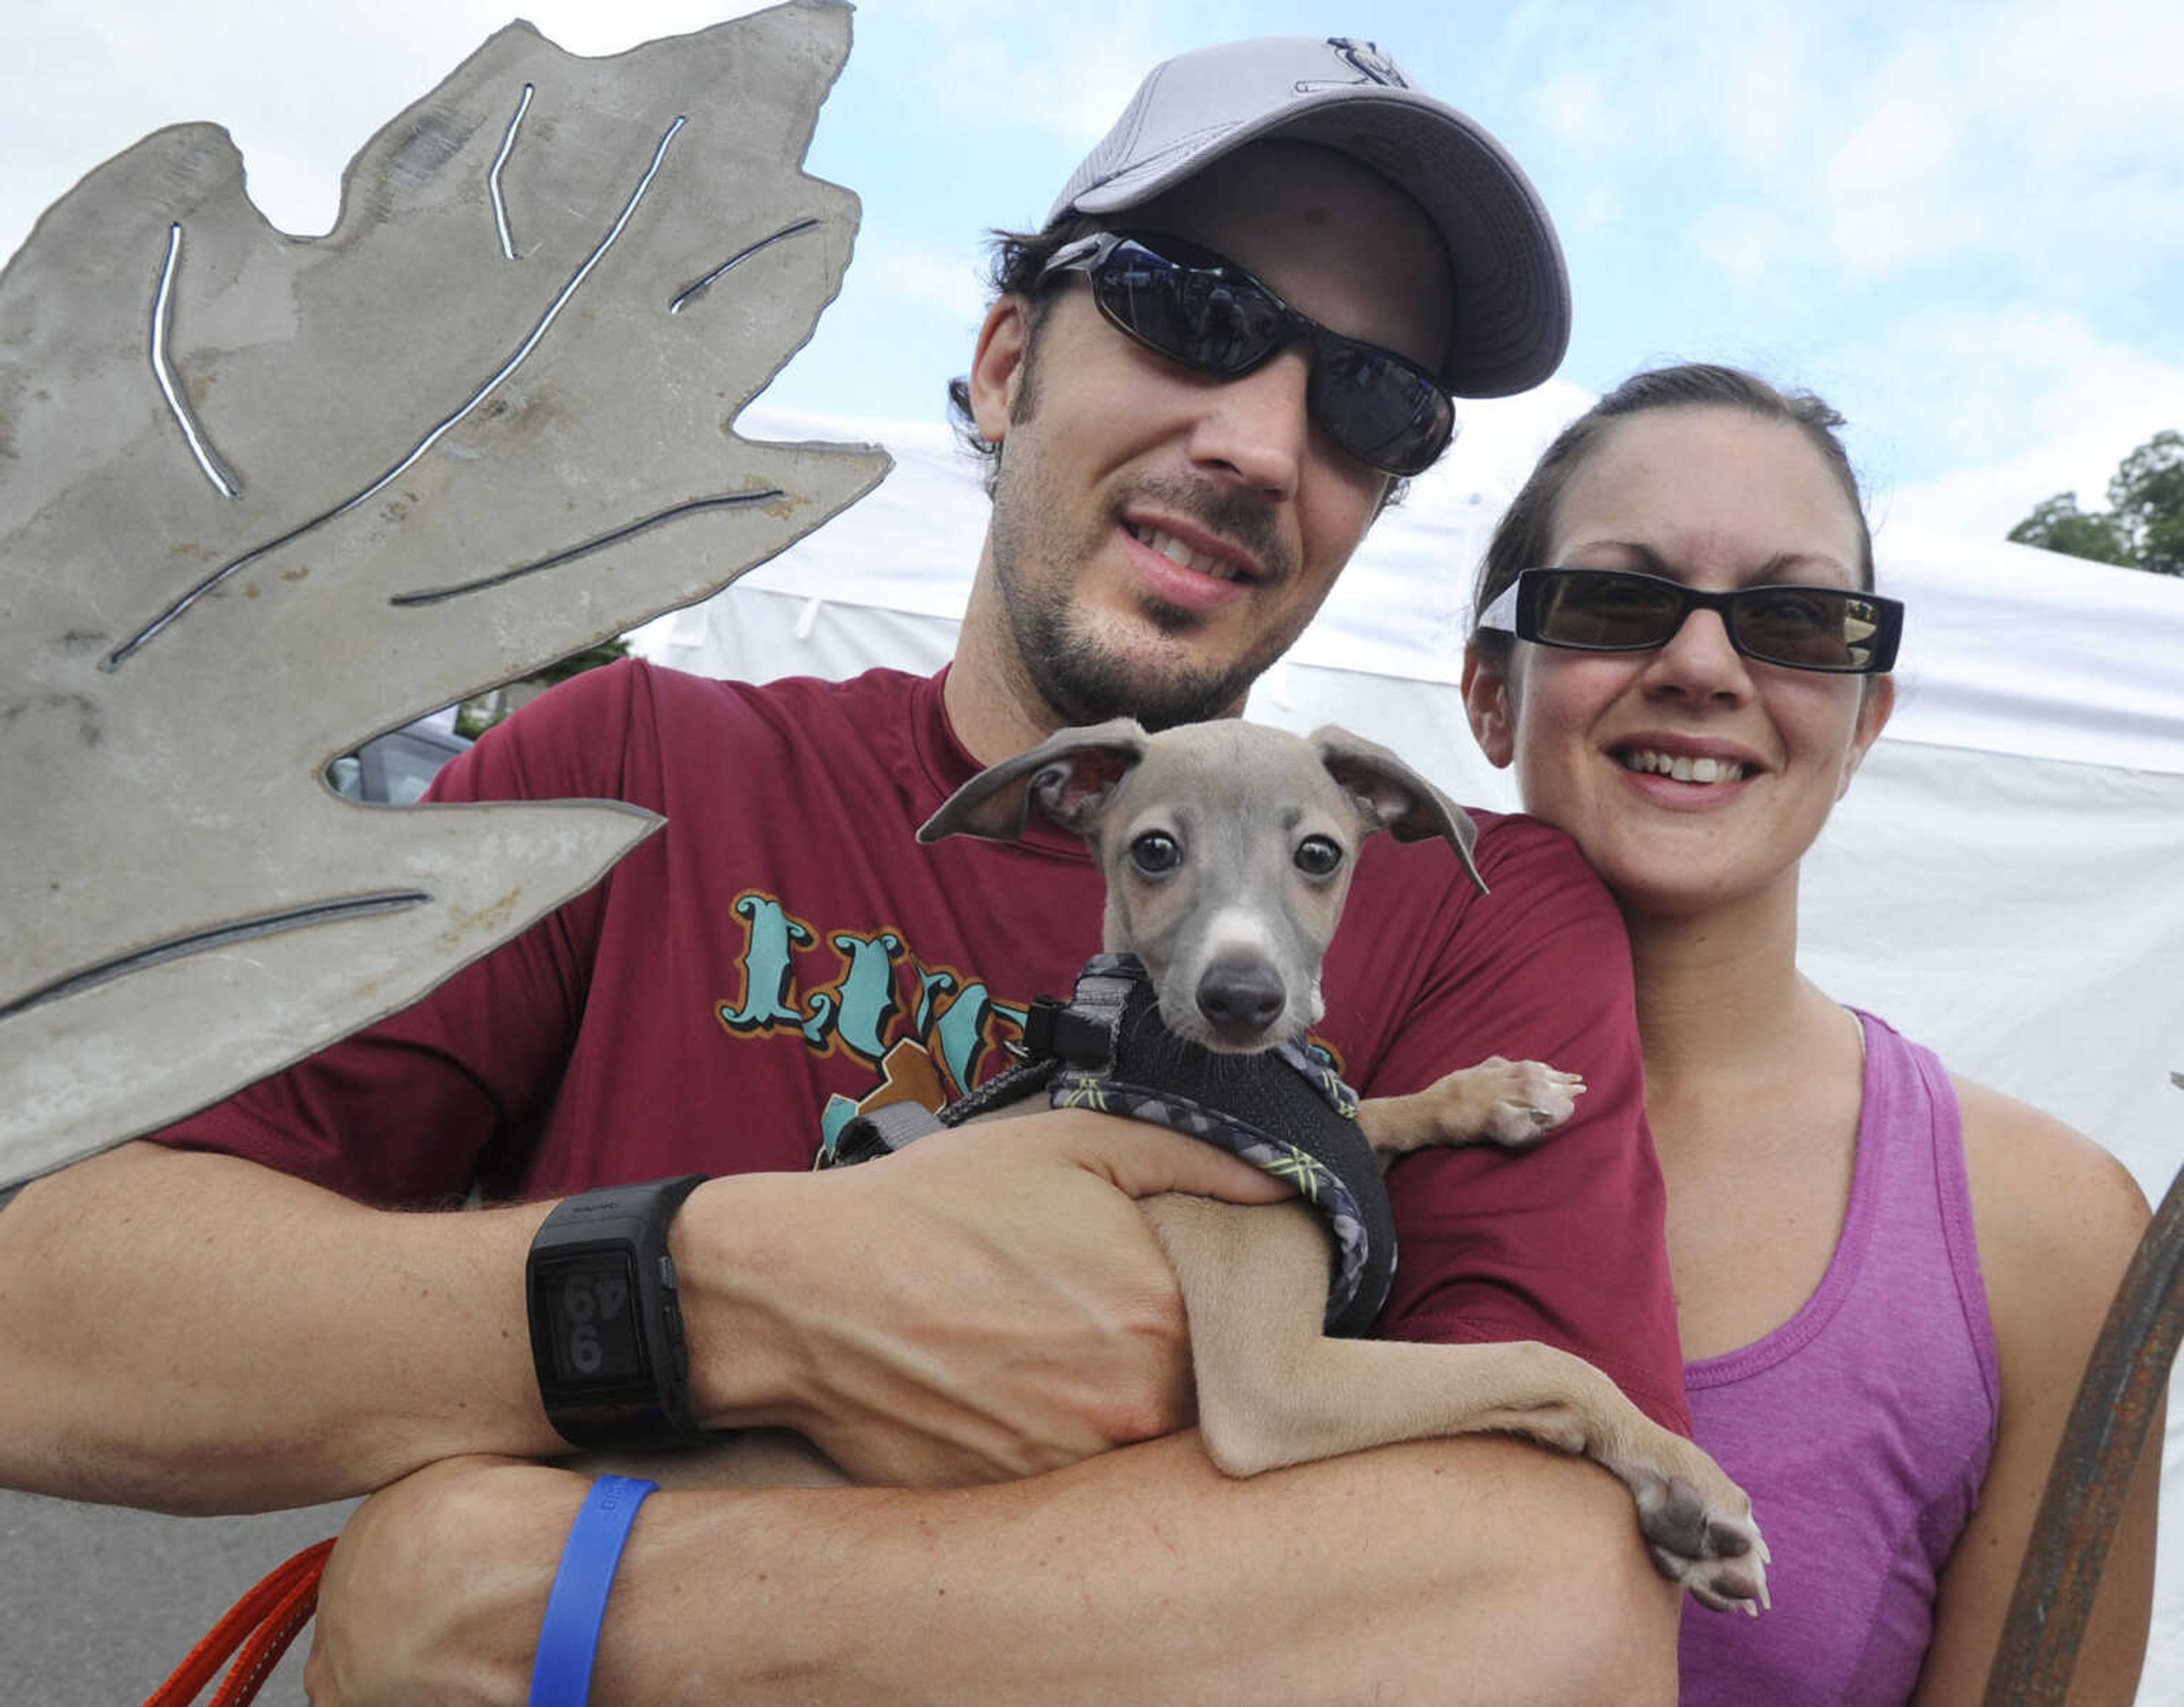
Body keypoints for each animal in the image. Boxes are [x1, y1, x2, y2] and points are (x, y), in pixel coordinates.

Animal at [607, 720, 1764, 1615]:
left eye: (1319, 854)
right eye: (1155, 850)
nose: (1242, 998)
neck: (1202, 1074)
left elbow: (1366, 1112)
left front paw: (1496, 1093)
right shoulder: (1275, 1385)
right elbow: (1540, 1359)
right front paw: (1685, 1483)